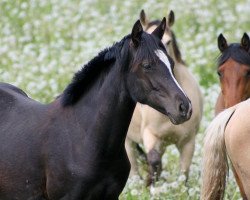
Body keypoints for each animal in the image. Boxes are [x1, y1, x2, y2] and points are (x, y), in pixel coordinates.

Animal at [125, 9, 203, 184]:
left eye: (168, 41)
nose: (184, 108)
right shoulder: (150, 135)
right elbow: (153, 161)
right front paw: (151, 184)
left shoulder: (188, 142)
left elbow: (184, 174)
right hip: (128, 141)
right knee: (133, 166)